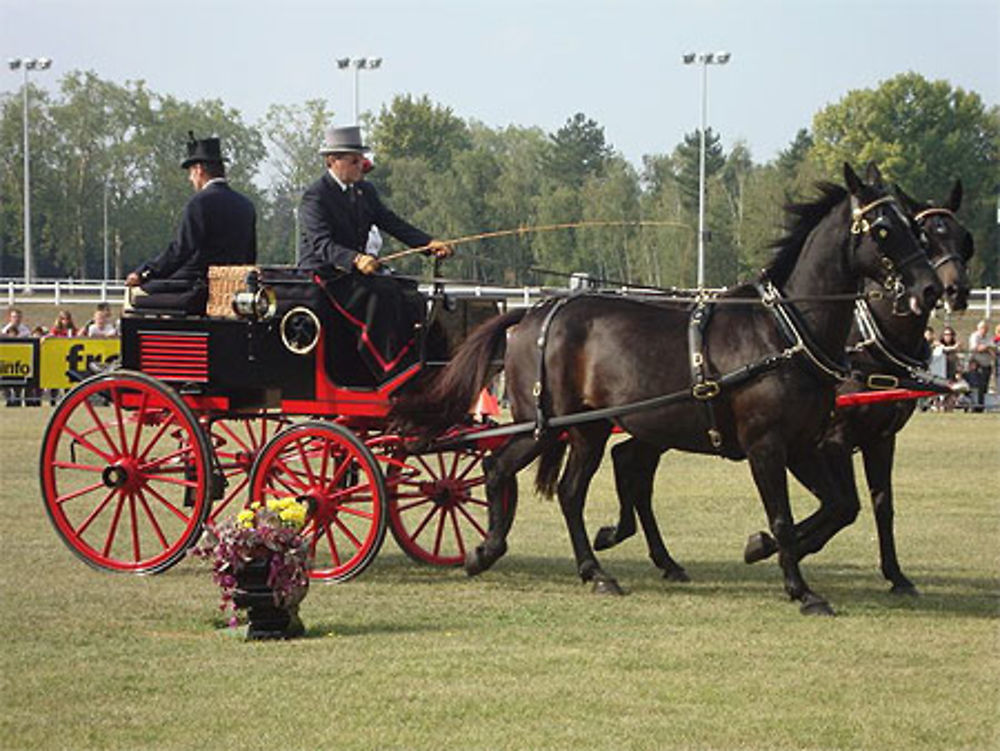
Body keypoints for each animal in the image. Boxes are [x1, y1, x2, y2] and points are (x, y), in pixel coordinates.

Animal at [394, 164, 940, 616]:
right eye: (883, 229)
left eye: (914, 227)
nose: (931, 288)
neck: (783, 332)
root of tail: (531, 313)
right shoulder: (768, 446)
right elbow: (786, 517)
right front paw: (801, 589)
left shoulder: (806, 444)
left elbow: (840, 507)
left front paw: (760, 547)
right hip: (545, 425)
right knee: (497, 468)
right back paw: (487, 552)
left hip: (588, 430)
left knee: (569, 491)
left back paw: (592, 571)